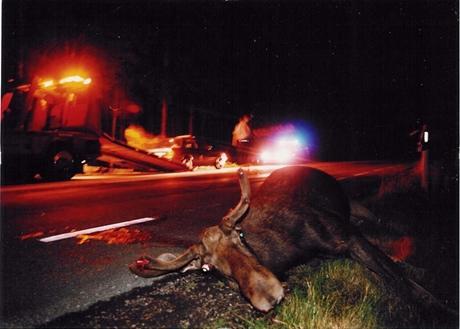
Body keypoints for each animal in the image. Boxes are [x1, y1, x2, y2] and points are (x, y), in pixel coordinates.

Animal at [129, 167, 452, 312]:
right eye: (209, 268)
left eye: (239, 236)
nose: (267, 296)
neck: (288, 252)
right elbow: (388, 274)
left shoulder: (348, 236)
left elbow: (399, 279)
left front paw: (437, 306)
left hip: (359, 210)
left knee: (387, 228)